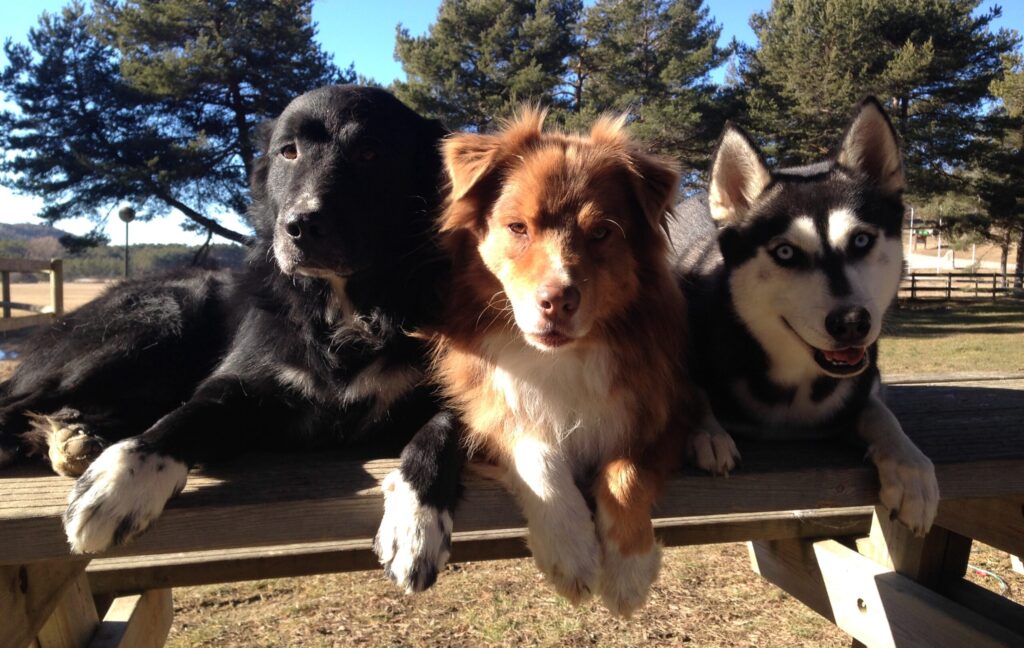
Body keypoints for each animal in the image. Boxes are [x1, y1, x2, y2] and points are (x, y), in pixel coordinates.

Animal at [37, 85, 460, 589]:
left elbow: (443, 428)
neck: (342, 311)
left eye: (371, 153)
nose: (300, 226)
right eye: (288, 151)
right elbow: (186, 414)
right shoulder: (241, 383)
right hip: (163, 317)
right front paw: (122, 479)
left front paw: (415, 522)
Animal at [432, 108, 696, 614]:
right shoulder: (486, 415)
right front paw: (571, 551)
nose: (556, 301)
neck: (562, 358)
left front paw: (629, 570)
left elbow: (626, 473)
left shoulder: (657, 415)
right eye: (518, 228)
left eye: (601, 232)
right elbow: (538, 455)